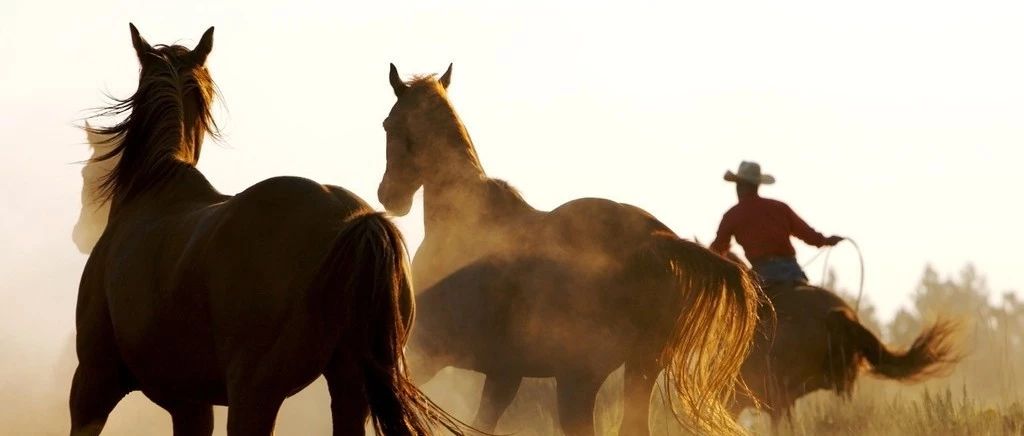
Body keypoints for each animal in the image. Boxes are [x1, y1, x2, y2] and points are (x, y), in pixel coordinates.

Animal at [71, 24, 461, 436]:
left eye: (88, 174)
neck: (152, 188)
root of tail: (355, 221)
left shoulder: (92, 386)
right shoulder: (191, 405)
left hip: (255, 394)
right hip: (350, 386)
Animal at [376, 64, 765, 436]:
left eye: (387, 123)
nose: (389, 195)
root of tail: (657, 239)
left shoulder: (428, 352)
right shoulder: (504, 373)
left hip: (579, 379)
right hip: (639, 367)